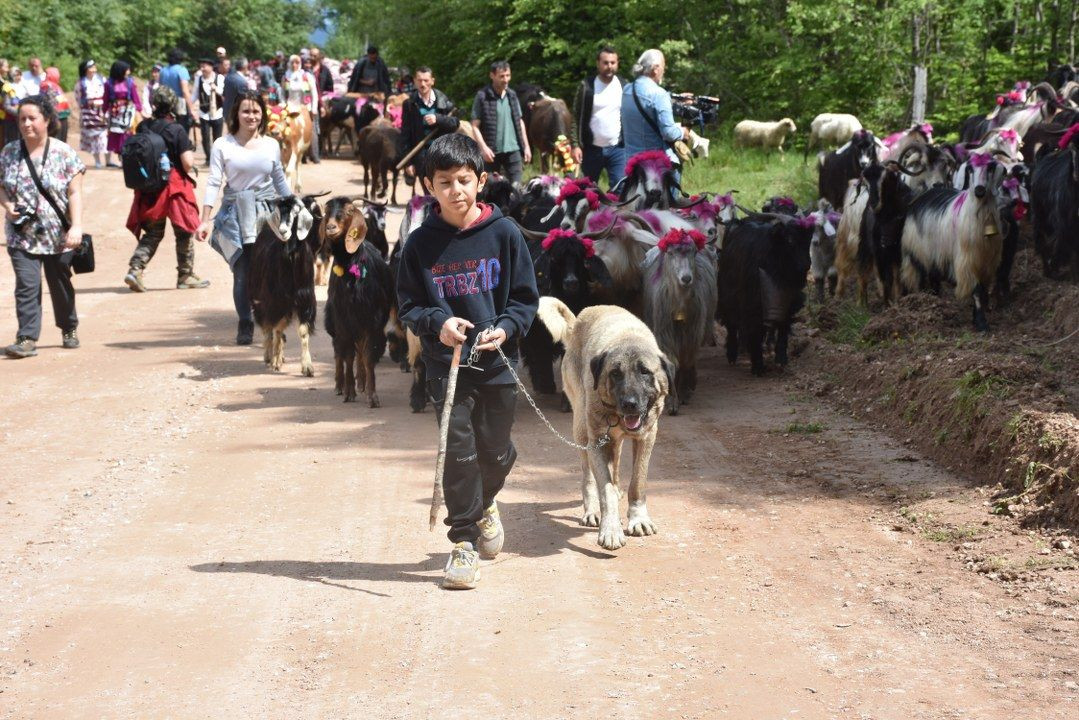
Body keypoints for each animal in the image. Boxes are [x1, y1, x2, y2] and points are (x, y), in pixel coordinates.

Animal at [535, 297, 668, 552]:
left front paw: (638, 518)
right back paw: (592, 510)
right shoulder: (596, 441)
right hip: (581, 429)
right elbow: (604, 488)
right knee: (588, 476)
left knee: (614, 467)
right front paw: (611, 529)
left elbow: (638, 481)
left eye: (645, 372)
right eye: (615, 373)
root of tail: (577, 322)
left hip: (612, 440)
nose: (629, 404)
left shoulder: (646, 437)